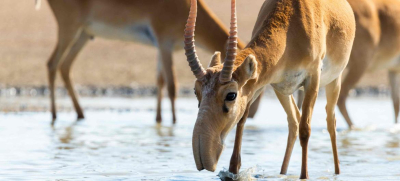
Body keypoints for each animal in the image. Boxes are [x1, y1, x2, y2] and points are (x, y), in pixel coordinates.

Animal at [39, 0, 244, 123]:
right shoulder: (164, 44)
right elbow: (172, 86)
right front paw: (174, 122)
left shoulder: (161, 48)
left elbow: (160, 81)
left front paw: (159, 119)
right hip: (69, 29)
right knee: (52, 63)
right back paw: (54, 115)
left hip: (83, 34)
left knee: (64, 66)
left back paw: (80, 114)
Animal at [184, 0, 356, 178]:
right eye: (196, 91)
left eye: (231, 95)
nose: (203, 156)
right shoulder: (260, 84)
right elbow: (242, 121)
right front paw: (233, 171)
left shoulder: (312, 79)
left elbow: (305, 129)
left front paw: (304, 176)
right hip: (283, 91)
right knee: (293, 122)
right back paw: (282, 173)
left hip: (333, 81)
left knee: (330, 121)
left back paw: (337, 172)